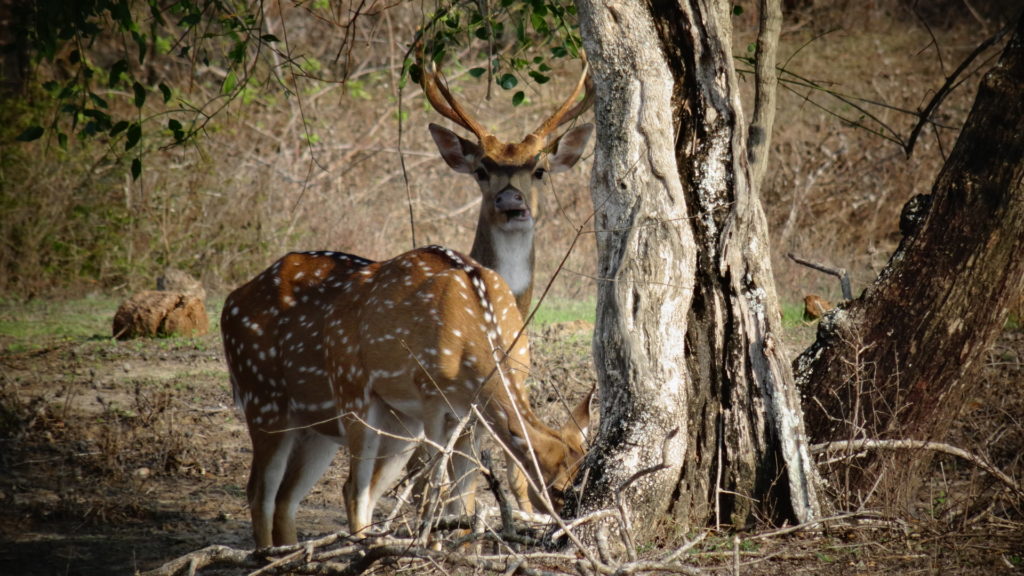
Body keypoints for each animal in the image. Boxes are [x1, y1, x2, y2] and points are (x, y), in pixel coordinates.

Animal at [224, 243, 593, 545]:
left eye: (584, 478)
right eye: (558, 488)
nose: (567, 532)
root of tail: (230, 302)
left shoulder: (472, 419)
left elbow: (466, 499)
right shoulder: (431, 397)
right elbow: (435, 490)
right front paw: (432, 546)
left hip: (352, 426)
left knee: (299, 496)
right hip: (288, 395)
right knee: (282, 491)